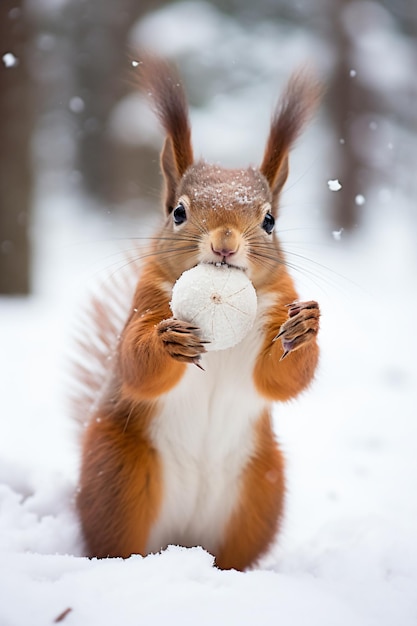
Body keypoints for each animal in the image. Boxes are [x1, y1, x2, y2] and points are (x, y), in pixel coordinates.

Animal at [75, 58, 320, 572]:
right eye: (179, 213)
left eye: (270, 220)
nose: (225, 243)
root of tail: (183, 543)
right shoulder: (144, 302)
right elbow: (133, 362)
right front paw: (168, 342)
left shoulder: (274, 309)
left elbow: (278, 378)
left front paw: (304, 329)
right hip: (119, 479)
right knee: (117, 540)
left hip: (259, 491)